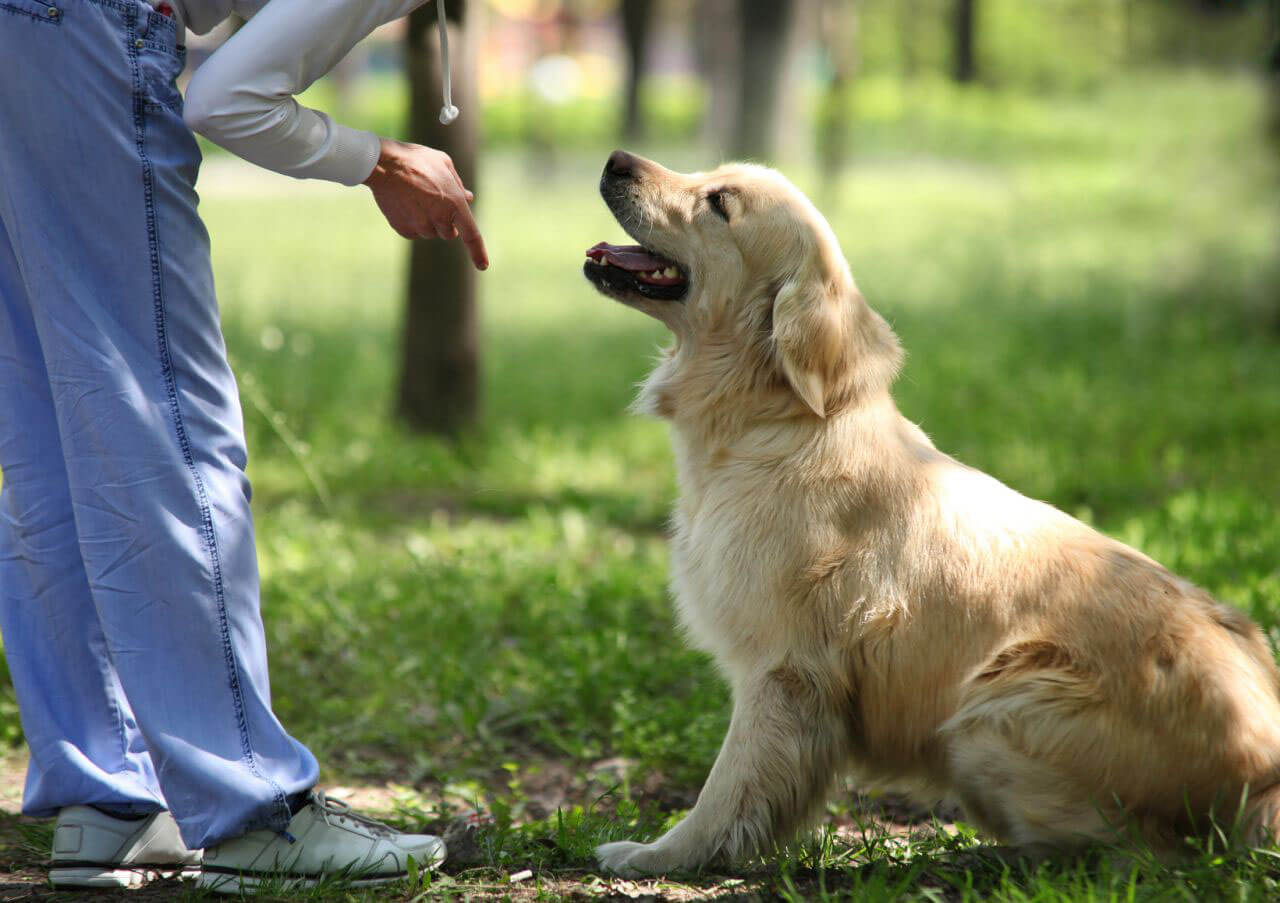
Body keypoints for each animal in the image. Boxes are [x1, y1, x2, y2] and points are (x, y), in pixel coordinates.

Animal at [586, 149, 1280, 870]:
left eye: (720, 202)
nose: (616, 159)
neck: (775, 420)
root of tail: (1266, 775)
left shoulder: (783, 670)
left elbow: (728, 788)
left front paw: (660, 854)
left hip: (993, 708)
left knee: (1138, 849)